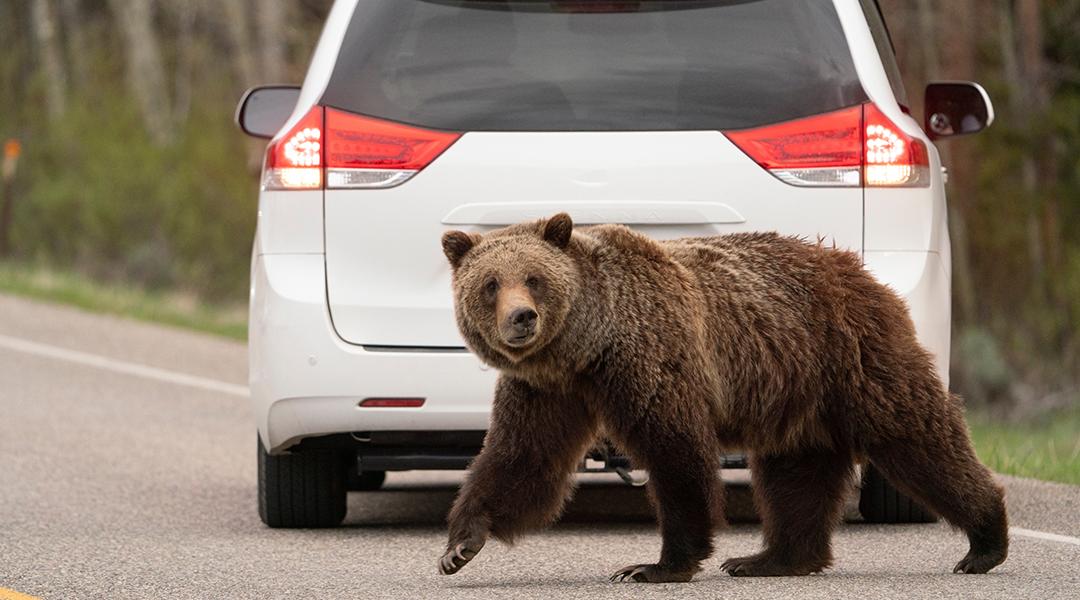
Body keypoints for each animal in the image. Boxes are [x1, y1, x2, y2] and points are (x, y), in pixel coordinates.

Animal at [436, 213, 1008, 583]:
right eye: (490, 284)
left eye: (534, 278)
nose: (521, 318)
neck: (588, 346)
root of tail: (859, 270)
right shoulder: (547, 389)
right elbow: (522, 456)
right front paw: (460, 545)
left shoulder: (652, 356)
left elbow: (675, 453)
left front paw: (655, 566)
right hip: (796, 393)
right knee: (795, 474)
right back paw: (771, 559)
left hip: (852, 357)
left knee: (916, 436)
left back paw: (985, 541)